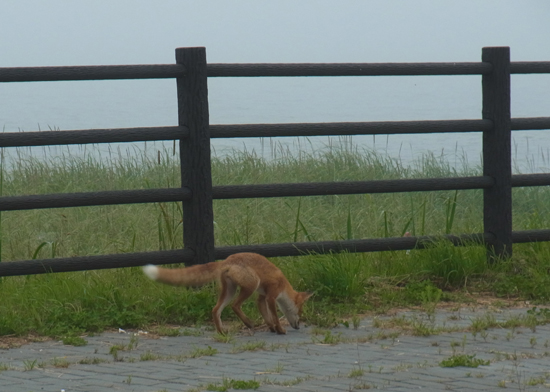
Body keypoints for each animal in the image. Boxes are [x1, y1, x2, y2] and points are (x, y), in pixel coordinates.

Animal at [144, 254, 312, 334]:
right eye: (300, 312)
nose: (298, 327)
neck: (283, 285)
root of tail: (227, 259)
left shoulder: (261, 298)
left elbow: (267, 316)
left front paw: (271, 328)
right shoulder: (271, 296)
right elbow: (275, 317)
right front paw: (280, 330)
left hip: (229, 291)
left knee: (215, 310)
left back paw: (221, 332)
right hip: (251, 285)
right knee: (235, 306)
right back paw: (247, 323)